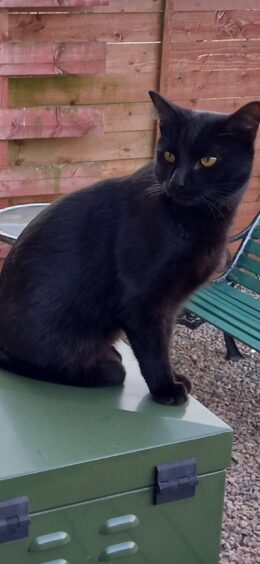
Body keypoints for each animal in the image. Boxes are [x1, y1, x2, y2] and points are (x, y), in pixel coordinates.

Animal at [0, 91, 260, 406]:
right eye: (169, 155)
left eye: (208, 160)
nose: (177, 182)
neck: (192, 220)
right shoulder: (143, 300)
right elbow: (154, 348)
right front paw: (166, 388)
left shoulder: (171, 304)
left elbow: (166, 340)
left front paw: (174, 378)